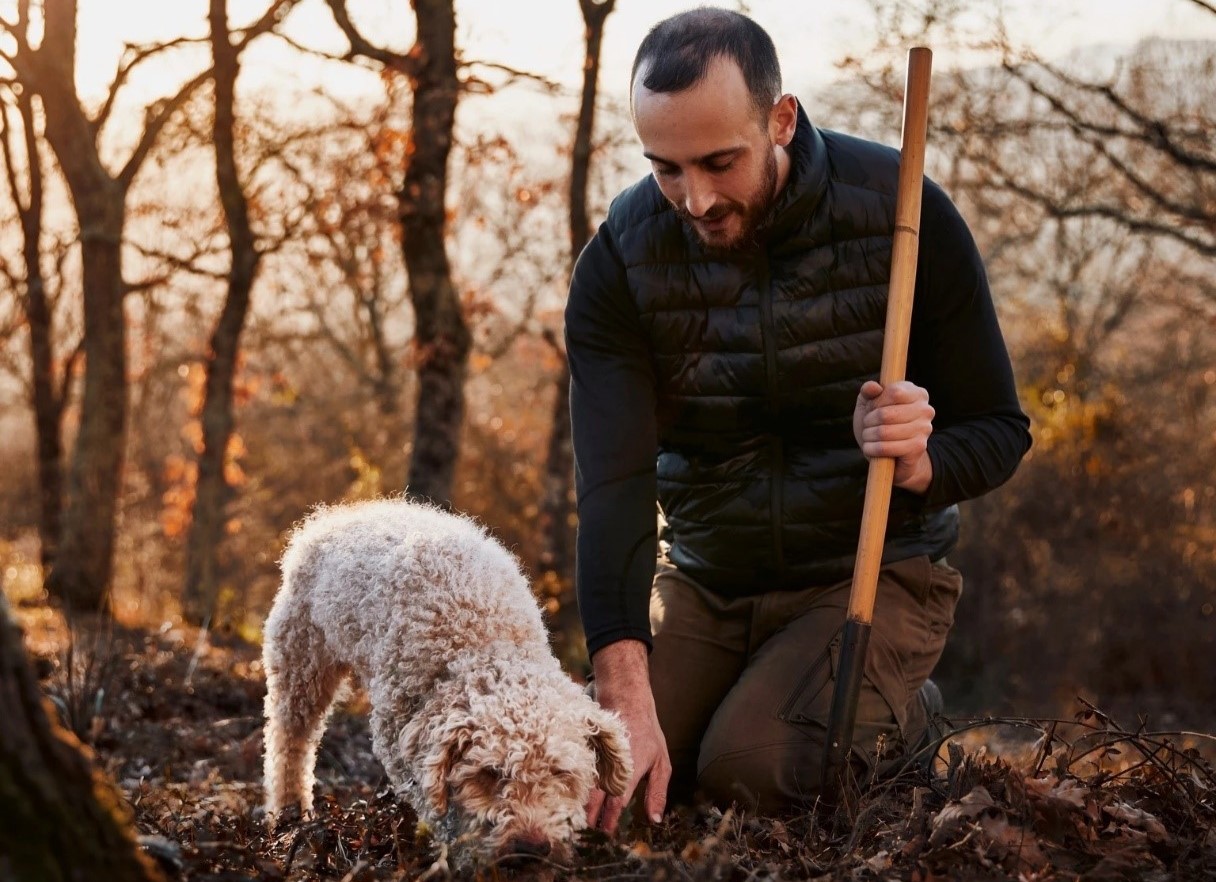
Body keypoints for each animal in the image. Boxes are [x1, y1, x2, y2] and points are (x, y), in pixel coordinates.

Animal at [261, 498, 632, 861]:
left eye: (560, 773)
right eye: (489, 773)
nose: (531, 849)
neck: (486, 639)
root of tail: (330, 518)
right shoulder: (398, 731)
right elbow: (433, 797)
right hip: (301, 662)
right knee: (290, 742)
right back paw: (289, 813)